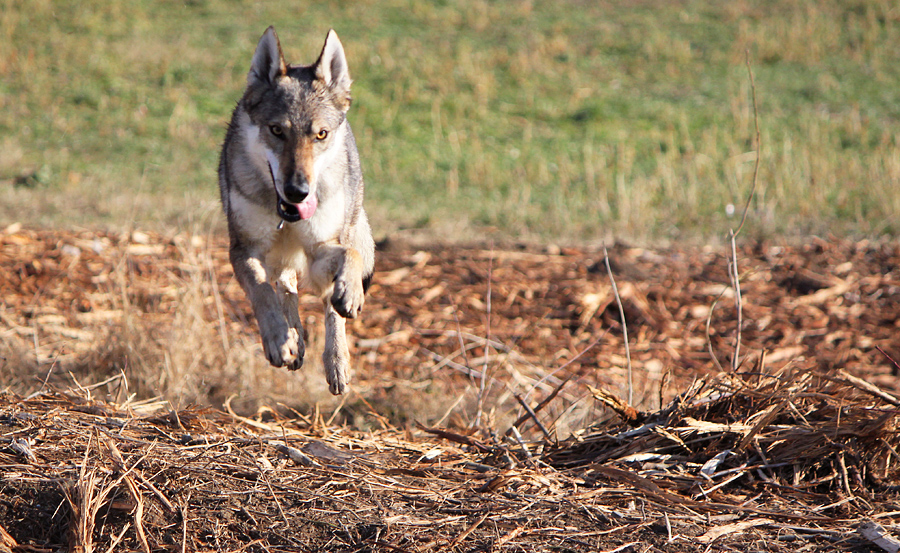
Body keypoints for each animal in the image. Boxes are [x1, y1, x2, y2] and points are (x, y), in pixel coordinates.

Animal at [220, 28, 374, 394]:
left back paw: (337, 362)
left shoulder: (321, 248)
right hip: (279, 258)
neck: (285, 220)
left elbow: (349, 259)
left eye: (321, 134)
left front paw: (351, 296)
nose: (297, 191)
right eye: (277, 130)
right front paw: (280, 341)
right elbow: (262, 291)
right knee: (285, 286)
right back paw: (295, 339)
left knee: (328, 301)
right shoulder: (243, 249)